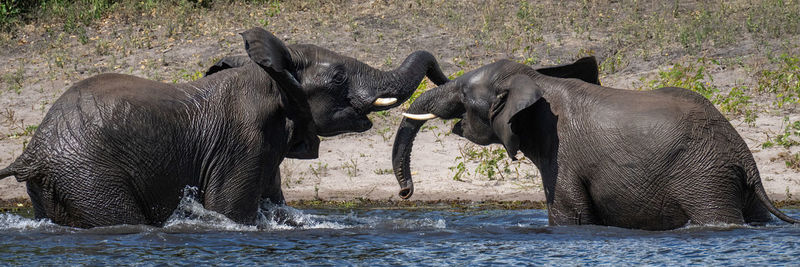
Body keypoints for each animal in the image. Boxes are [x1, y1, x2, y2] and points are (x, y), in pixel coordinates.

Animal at [0, 26, 450, 228]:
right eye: (339, 78)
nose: (405, 193)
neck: (269, 74)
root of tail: (32, 151)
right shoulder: (243, 143)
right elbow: (229, 211)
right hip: (88, 173)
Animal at [396, 57, 800, 231]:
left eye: (465, 95)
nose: (405, 192)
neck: (536, 82)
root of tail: (743, 154)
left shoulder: (562, 155)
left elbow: (568, 215)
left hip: (704, 176)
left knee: (717, 216)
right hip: (724, 174)